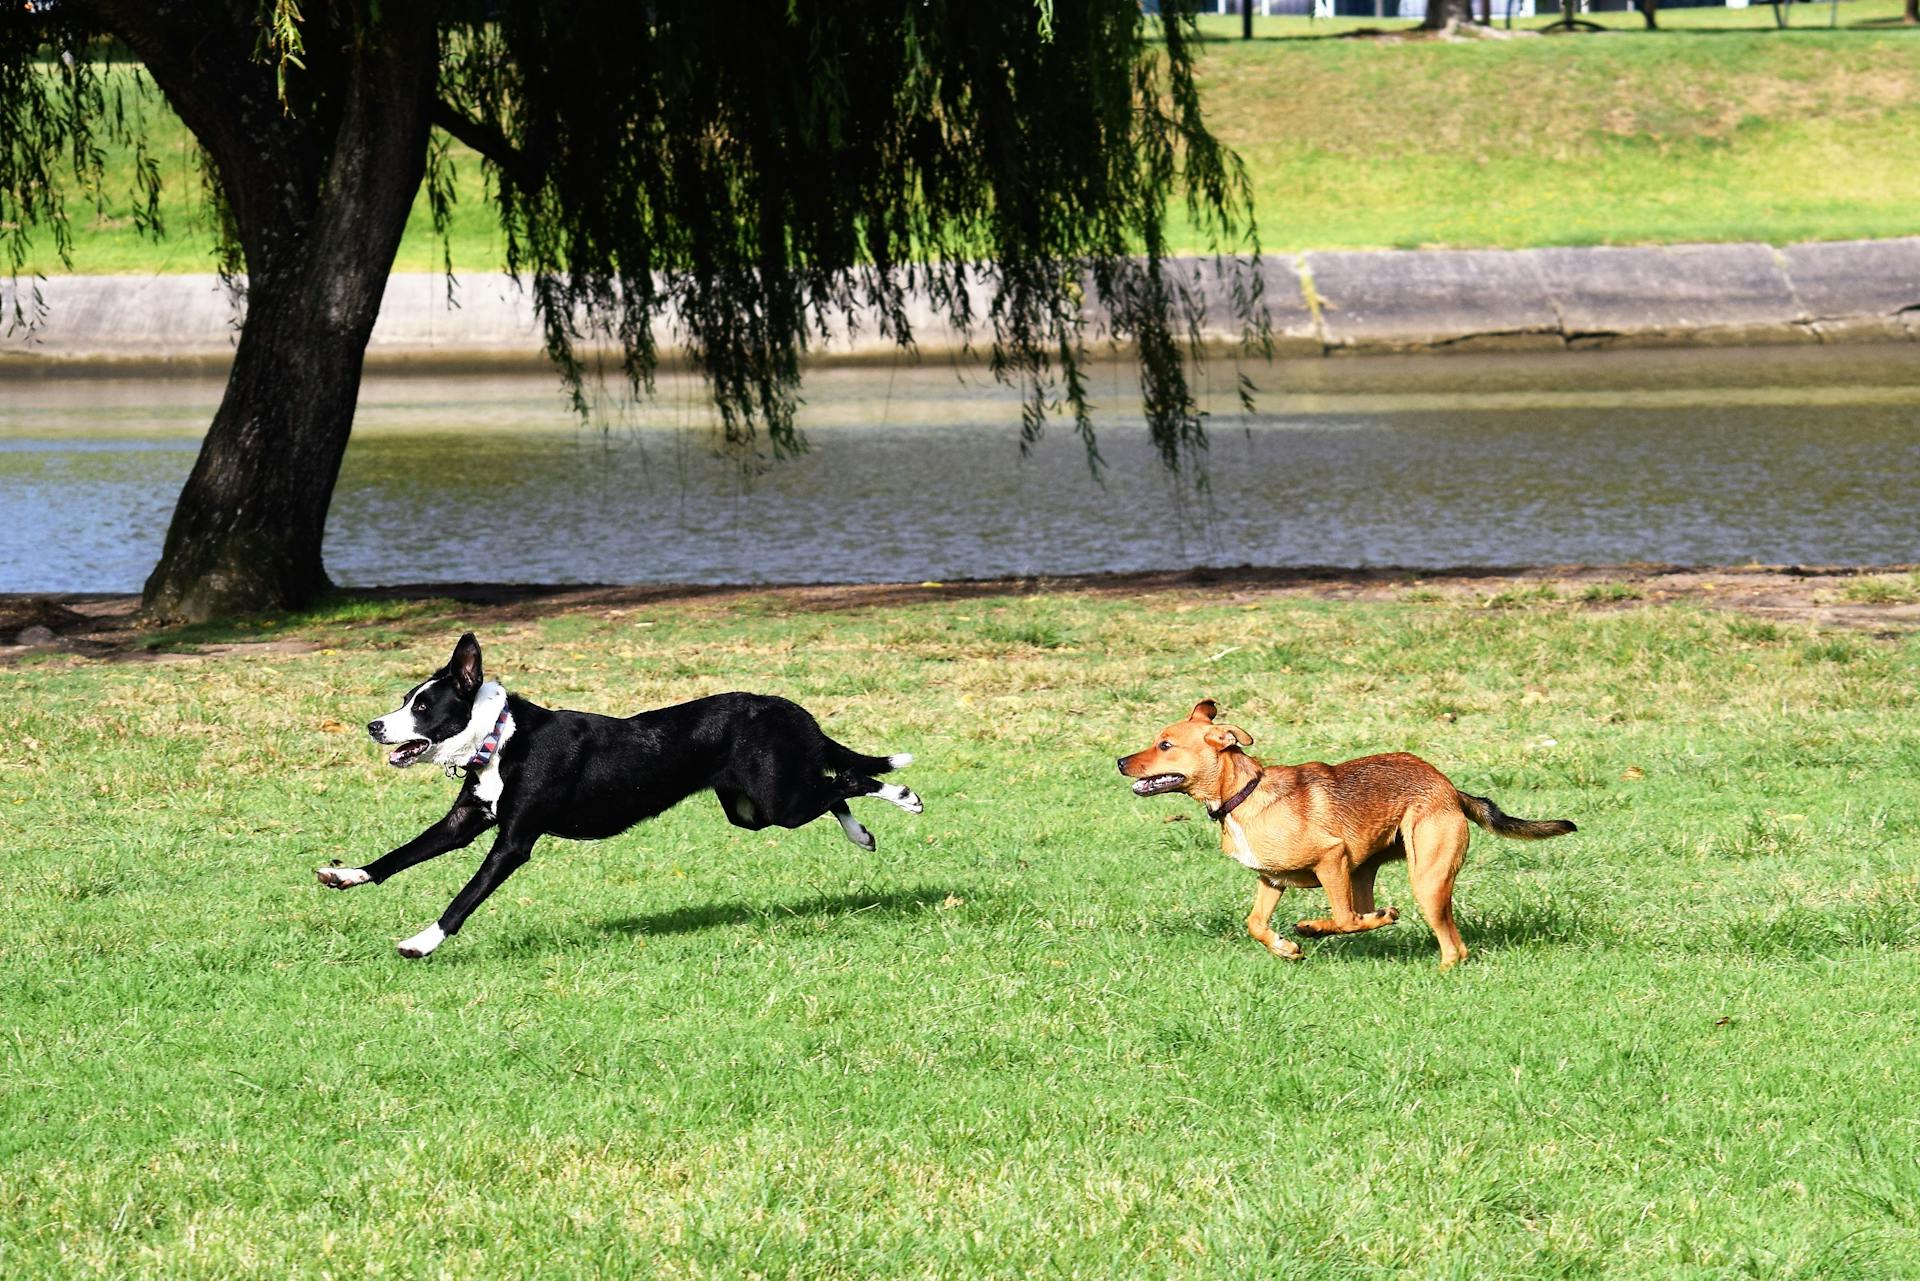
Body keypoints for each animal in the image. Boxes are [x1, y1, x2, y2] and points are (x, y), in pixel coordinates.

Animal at [322, 637, 921, 956]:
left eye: (423, 707)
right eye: (405, 699)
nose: (374, 726)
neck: (501, 739)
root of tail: (792, 709)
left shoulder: (513, 843)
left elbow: (463, 898)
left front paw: (423, 942)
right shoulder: (464, 822)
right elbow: (399, 855)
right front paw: (347, 874)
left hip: (777, 800)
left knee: (848, 781)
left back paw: (902, 795)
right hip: (754, 811)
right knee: (833, 790)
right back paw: (863, 835)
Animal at [1113, 706, 1574, 967]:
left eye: (1165, 745)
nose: (1119, 761)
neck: (1244, 795)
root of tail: (1450, 788)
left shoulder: (1331, 857)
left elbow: (1343, 919)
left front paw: (1309, 931)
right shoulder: (1271, 880)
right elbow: (1255, 924)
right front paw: (1284, 948)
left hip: (1426, 878)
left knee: (1452, 946)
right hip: (1364, 871)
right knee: (1374, 913)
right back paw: (1383, 917)